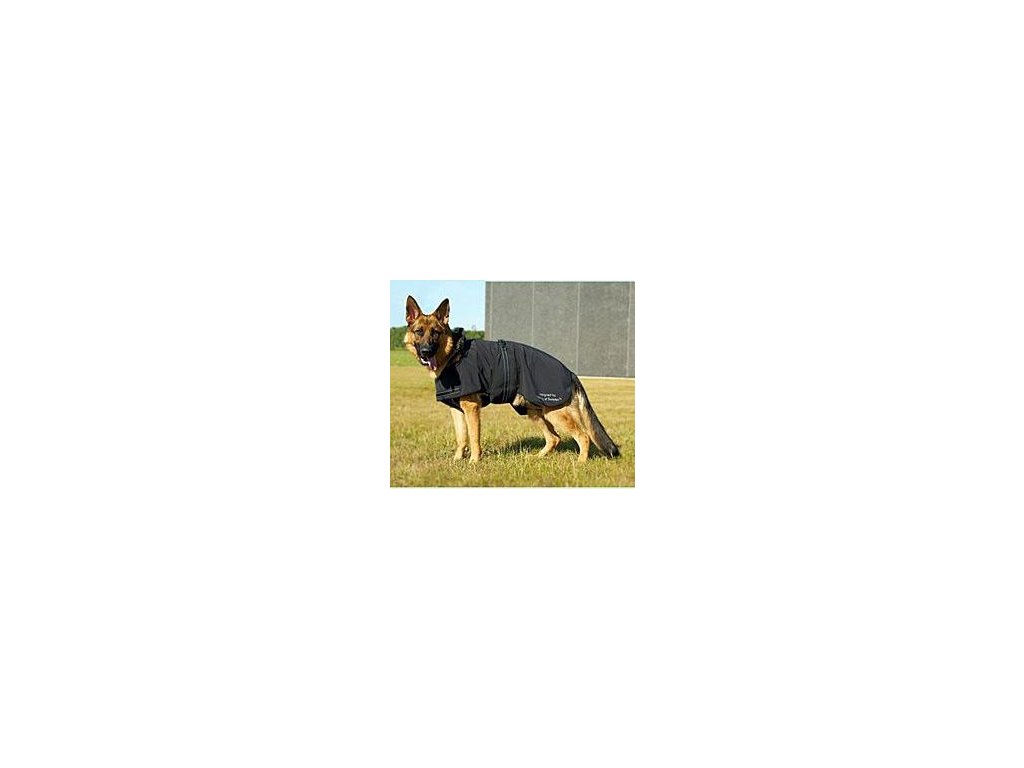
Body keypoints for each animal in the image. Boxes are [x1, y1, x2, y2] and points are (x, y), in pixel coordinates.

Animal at [404, 295, 621, 463]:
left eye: (435, 333)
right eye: (419, 332)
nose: (425, 352)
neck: (453, 354)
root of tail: (570, 373)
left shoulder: (471, 409)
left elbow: (473, 438)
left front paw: (474, 462)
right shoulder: (457, 411)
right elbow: (461, 438)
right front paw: (458, 460)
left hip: (555, 413)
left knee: (583, 436)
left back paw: (580, 463)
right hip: (535, 412)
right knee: (554, 438)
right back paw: (537, 458)